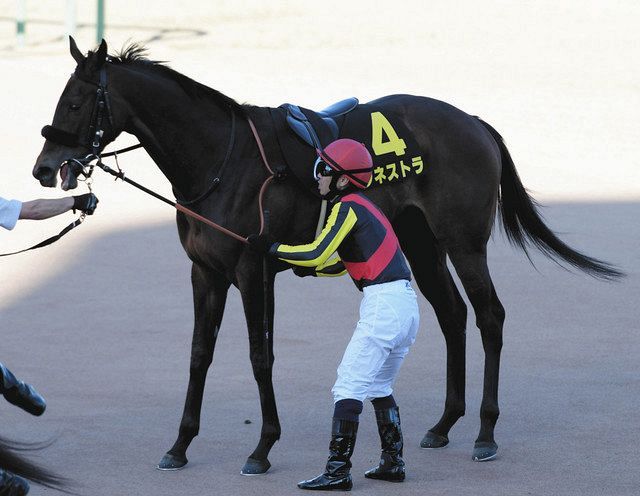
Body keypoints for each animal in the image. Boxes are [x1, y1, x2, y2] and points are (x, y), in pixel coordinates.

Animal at [32, 38, 624, 472]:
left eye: (76, 102)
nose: (44, 167)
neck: (222, 159)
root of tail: (474, 121)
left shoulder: (252, 269)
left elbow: (260, 355)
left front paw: (263, 447)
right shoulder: (205, 272)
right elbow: (200, 354)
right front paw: (180, 445)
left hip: (462, 240)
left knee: (489, 316)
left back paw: (484, 430)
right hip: (419, 241)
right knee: (452, 314)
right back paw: (443, 425)